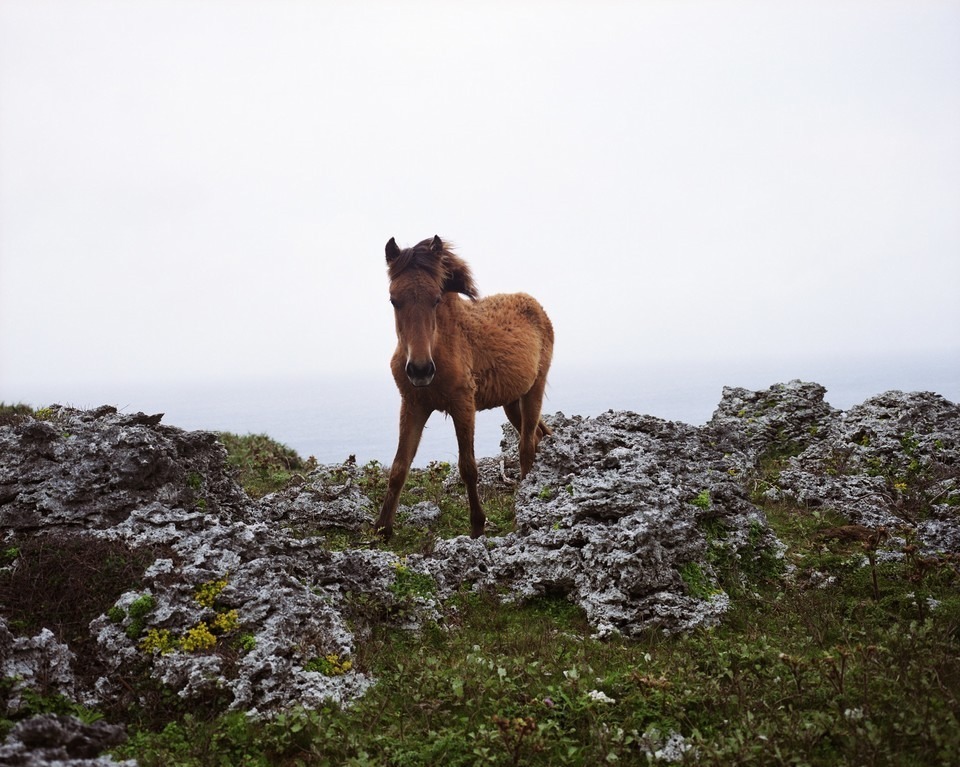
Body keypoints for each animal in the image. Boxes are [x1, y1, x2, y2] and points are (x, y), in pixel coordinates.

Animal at [376, 236, 556, 540]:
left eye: (436, 299)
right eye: (393, 300)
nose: (421, 370)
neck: (442, 343)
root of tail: (535, 305)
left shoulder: (463, 405)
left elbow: (468, 467)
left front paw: (477, 526)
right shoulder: (413, 404)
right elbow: (400, 466)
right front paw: (382, 530)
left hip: (534, 390)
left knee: (526, 445)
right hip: (512, 402)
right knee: (538, 435)